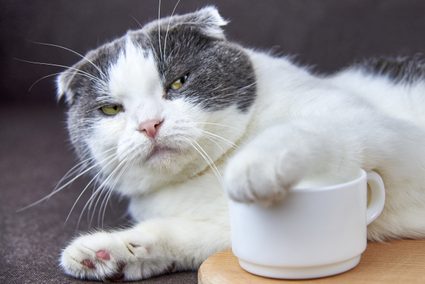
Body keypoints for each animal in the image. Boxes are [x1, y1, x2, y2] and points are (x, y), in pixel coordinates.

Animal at [56, 5, 424, 280]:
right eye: (111, 109)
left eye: (178, 82)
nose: (149, 125)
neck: (209, 174)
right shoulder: (219, 227)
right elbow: (181, 235)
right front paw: (104, 253)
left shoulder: (389, 134)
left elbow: (309, 130)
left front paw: (253, 167)